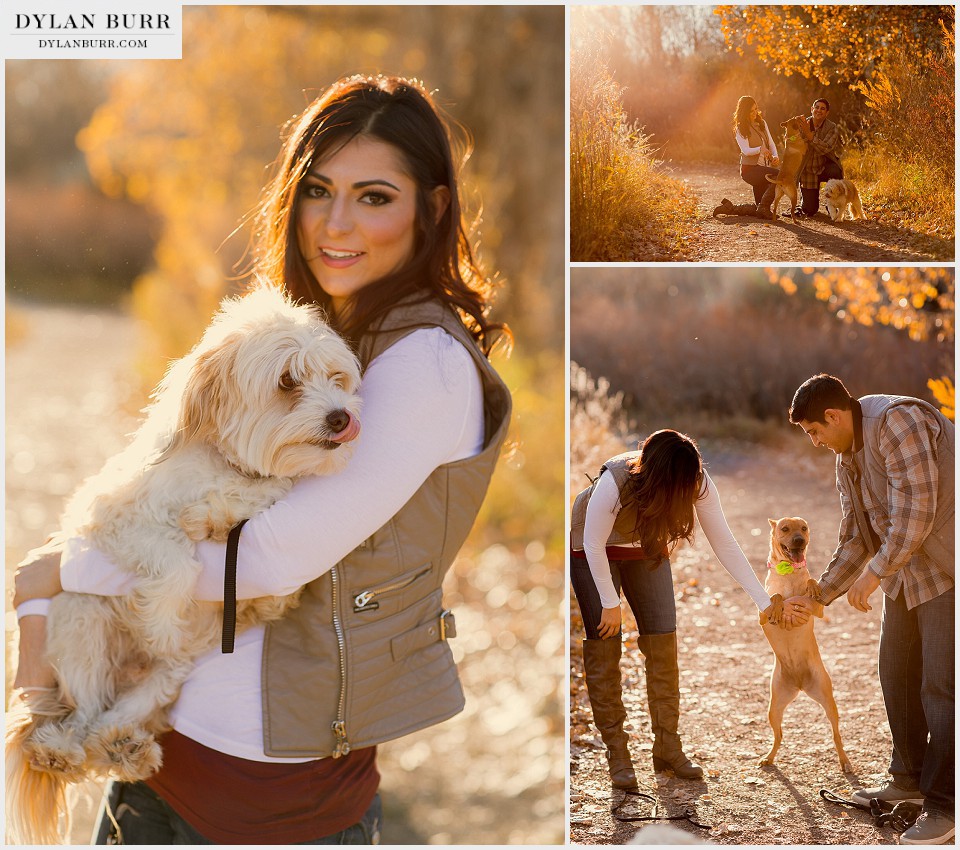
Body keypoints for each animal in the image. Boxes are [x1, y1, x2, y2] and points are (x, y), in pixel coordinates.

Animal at [5, 284, 364, 840]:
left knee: (111, 720)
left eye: (337, 378)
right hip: (82, 621)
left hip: (165, 678)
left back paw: (126, 748)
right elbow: (177, 560)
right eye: (287, 381)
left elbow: (268, 573)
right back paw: (61, 749)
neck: (231, 466)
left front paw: (218, 519)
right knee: (81, 716)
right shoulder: (113, 517)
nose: (342, 416)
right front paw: (160, 618)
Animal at [752, 512, 852, 772]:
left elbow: (811, 582)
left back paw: (845, 761)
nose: (799, 540)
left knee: (836, 735)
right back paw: (769, 758)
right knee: (779, 735)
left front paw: (813, 586)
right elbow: (775, 596)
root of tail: (799, 684)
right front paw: (779, 607)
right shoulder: (761, 616)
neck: (789, 572)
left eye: (804, 528)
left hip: (828, 701)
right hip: (774, 708)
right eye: (785, 529)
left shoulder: (817, 610)